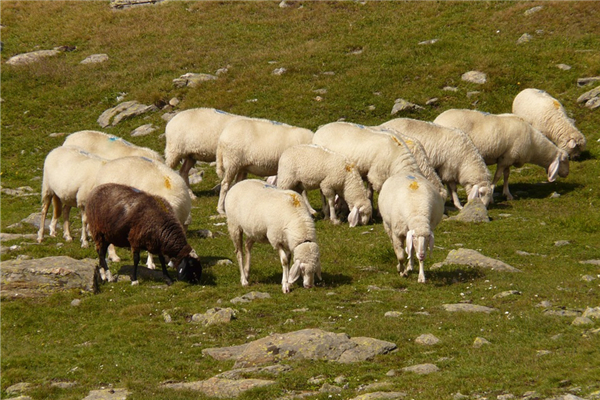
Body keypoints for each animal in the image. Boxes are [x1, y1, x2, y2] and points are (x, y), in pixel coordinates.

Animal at [434, 108, 568, 200]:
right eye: (565, 159)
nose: (567, 174)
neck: (533, 144)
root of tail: (437, 120)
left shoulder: (509, 158)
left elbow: (506, 175)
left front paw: (507, 194)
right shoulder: (506, 158)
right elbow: (498, 176)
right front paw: (492, 193)